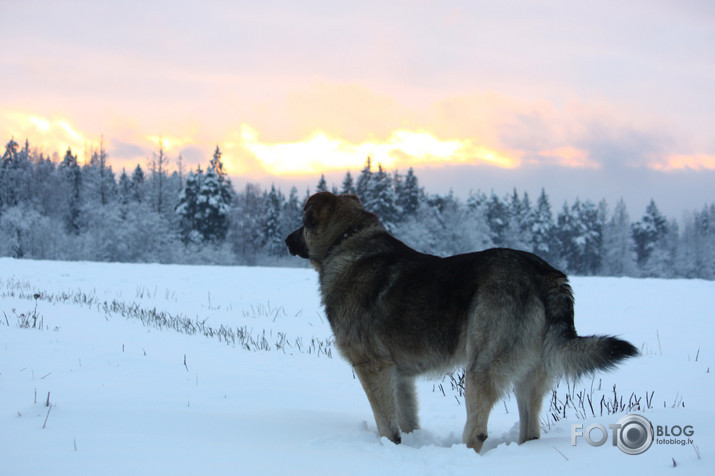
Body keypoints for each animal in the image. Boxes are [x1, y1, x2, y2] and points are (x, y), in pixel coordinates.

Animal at [286, 192, 636, 452]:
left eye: (302, 222)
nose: (286, 239)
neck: (347, 241)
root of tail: (544, 272)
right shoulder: (399, 376)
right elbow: (407, 420)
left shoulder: (373, 368)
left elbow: (386, 425)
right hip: (530, 375)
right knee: (530, 430)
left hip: (480, 368)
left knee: (477, 431)